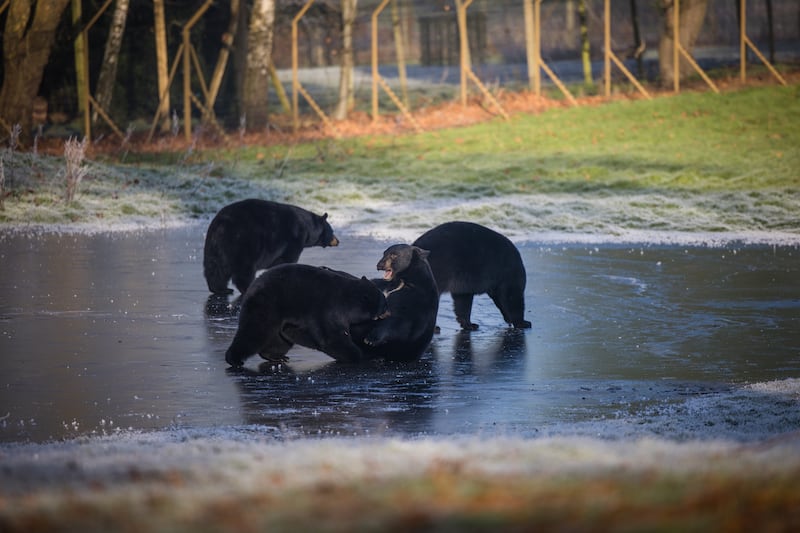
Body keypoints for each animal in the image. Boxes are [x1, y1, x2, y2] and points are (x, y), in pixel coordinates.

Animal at [205, 198, 340, 294]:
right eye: (332, 231)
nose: (338, 241)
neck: (307, 228)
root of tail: (222, 224)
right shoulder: (294, 239)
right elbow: (287, 259)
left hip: (214, 246)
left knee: (215, 268)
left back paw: (221, 289)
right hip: (245, 242)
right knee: (244, 269)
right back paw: (247, 287)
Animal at [223, 262, 390, 366]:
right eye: (384, 303)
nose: (387, 311)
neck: (348, 298)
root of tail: (251, 287)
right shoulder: (330, 308)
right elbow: (331, 337)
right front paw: (362, 356)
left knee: (279, 339)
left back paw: (276, 357)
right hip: (267, 305)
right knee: (254, 331)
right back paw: (234, 359)